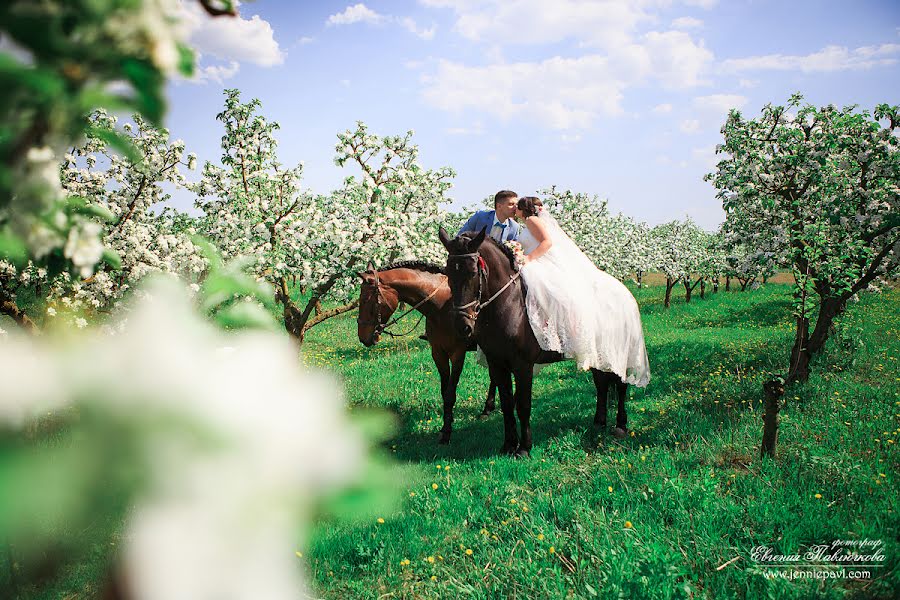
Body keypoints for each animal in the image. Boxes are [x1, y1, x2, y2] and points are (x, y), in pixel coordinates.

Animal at [356, 260, 500, 442]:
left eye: (365, 300)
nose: (363, 337)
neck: (442, 307)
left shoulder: (457, 354)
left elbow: (450, 393)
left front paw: (447, 432)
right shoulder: (438, 353)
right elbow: (444, 391)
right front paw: (447, 423)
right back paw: (487, 409)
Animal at [436, 227, 624, 458]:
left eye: (472, 272)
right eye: (448, 272)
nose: (463, 327)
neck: (510, 306)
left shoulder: (523, 366)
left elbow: (523, 405)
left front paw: (524, 448)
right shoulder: (497, 364)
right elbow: (507, 403)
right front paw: (508, 445)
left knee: (620, 384)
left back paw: (621, 426)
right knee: (602, 383)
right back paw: (599, 423)